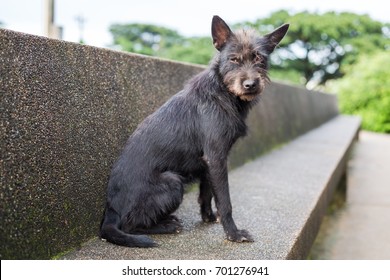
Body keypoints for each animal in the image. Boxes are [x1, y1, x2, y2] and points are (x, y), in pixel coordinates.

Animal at [100, 15, 290, 247]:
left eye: (259, 59)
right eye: (233, 59)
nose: (250, 84)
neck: (222, 92)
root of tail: (110, 210)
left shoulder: (209, 162)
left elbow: (207, 193)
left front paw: (208, 217)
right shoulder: (216, 158)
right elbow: (225, 201)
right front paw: (233, 233)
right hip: (172, 182)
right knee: (130, 225)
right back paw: (166, 226)